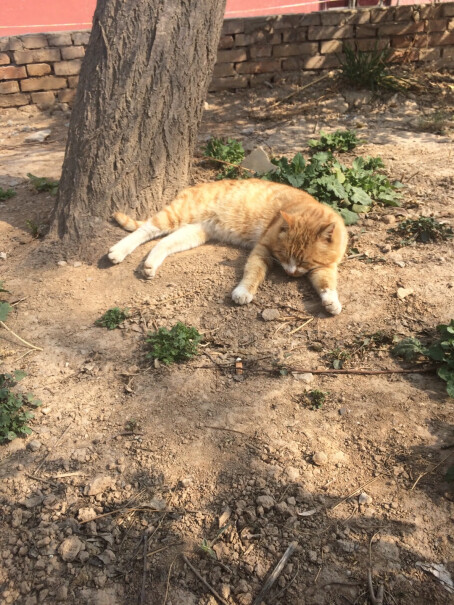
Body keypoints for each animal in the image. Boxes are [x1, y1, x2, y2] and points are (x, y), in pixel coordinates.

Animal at [109, 177, 348, 314]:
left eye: (304, 261)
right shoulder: (262, 249)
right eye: (282, 254)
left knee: (164, 242)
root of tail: (195, 186)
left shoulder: (326, 267)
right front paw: (243, 292)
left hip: (195, 232)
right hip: (177, 215)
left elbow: (327, 283)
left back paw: (150, 265)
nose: (289, 272)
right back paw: (118, 251)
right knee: (146, 230)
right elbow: (253, 272)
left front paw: (331, 302)